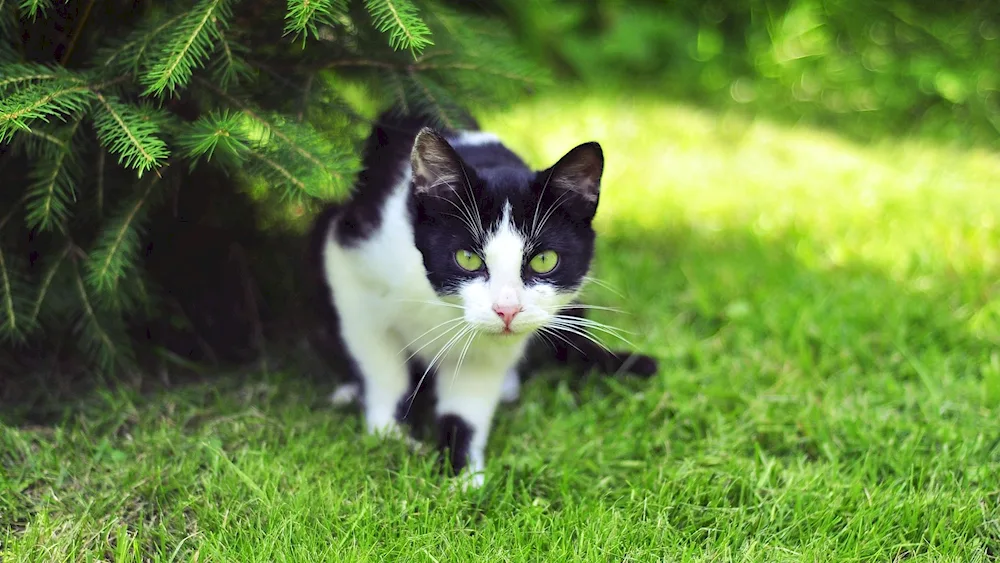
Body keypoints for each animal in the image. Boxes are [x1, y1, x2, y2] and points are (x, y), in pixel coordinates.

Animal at [308, 110, 660, 490]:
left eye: (544, 260)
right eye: (467, 258)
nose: (507, 309)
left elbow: (468, 400)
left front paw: (461, 473)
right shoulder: (352, 264)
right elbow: (383, 367)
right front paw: (390, 435)